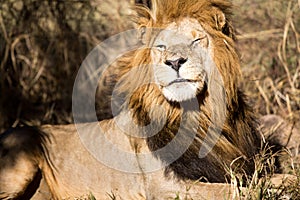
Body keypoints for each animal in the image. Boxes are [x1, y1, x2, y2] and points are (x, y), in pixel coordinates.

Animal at [0, 0, 274, 199]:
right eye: (161, 46)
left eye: (196, 39)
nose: (175, 62)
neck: (198, 113)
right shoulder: (165, 188)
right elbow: (235, 191)